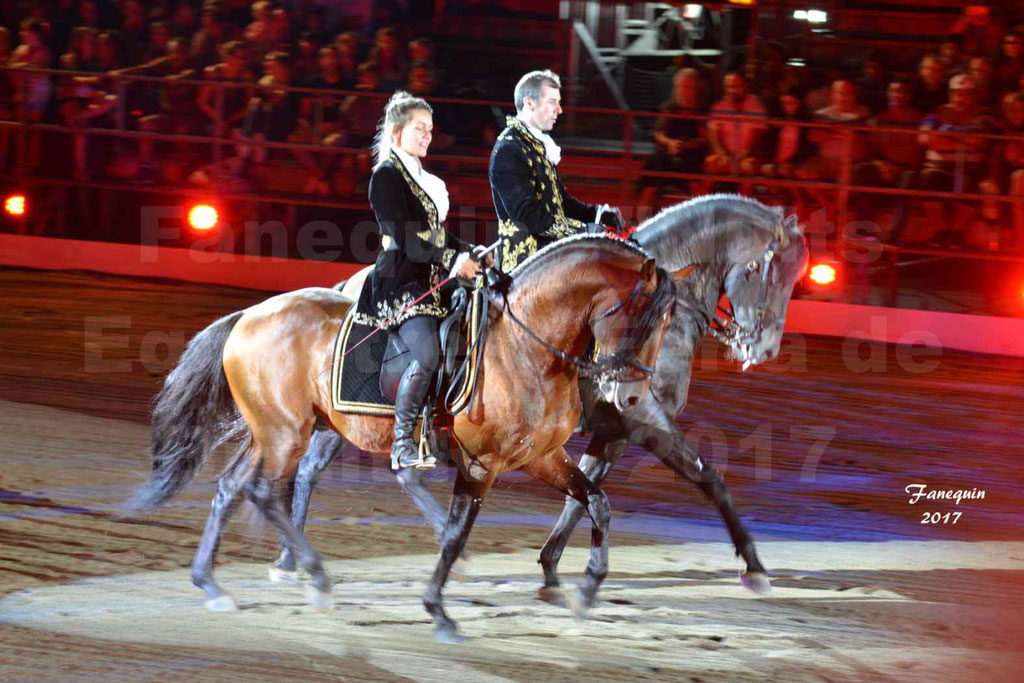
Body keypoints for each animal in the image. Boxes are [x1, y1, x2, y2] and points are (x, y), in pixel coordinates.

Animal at [132, 233, 679, 643]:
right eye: (644, 316)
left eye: (669, 322)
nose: (632, 394)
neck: (527, 346)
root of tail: (249, 316)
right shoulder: (481, 464)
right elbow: (457, 535)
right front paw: (439, 612)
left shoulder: (542, 456)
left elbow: (598, 503)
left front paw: (587, 591)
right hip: (286, 435)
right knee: (264, 492)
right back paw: (316, 578)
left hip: (275, 431)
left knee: (232, 488)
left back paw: (212, 584)